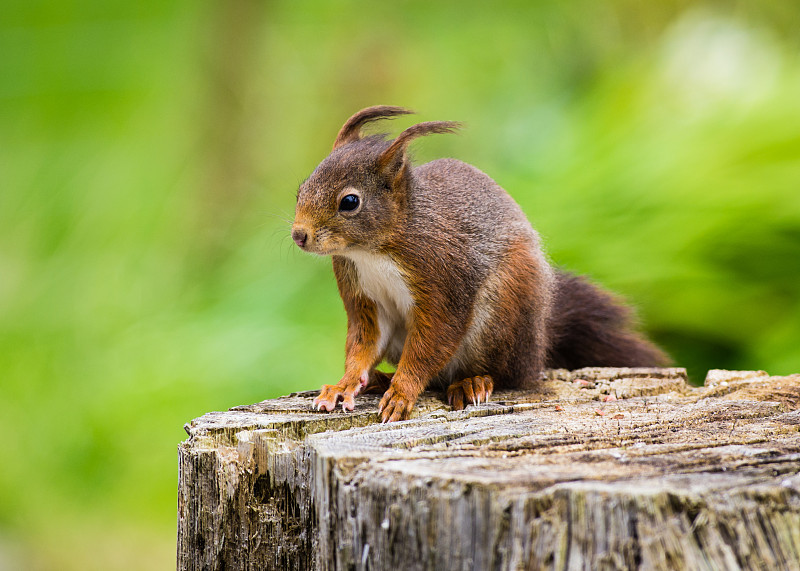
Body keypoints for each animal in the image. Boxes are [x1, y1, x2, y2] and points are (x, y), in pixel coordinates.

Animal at [290, 106, 664, 424]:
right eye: (301, 188)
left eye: (350, 201)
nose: (299, 235)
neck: (373, 251)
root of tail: (539, 341)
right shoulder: (362, 294)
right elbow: (363, 343)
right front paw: (344, 385)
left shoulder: (442, 276)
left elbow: (432, 340)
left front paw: (402, 392)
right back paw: (381, 379)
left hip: (503, 311)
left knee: (504, 374)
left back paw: (472, 382)